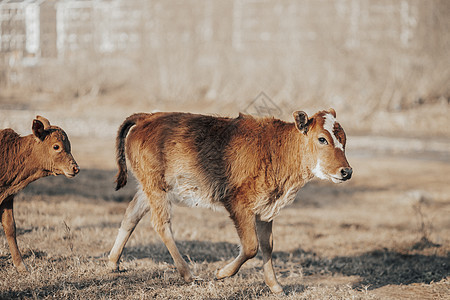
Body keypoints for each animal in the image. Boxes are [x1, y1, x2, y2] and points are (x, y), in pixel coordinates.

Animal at [109, 108, 352, 292]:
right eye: (322, 139)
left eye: (344, 140)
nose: (346, 172)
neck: (278, 148)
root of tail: (147, 117)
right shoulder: (238, 205)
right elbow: (251, 246)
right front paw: (221, 273)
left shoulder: (266, 209)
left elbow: (268, 245)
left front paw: (275, 286)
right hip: (157, 188)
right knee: (161, 224)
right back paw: (188, 274)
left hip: (148, 188)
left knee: (131, 216)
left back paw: (113, 263)